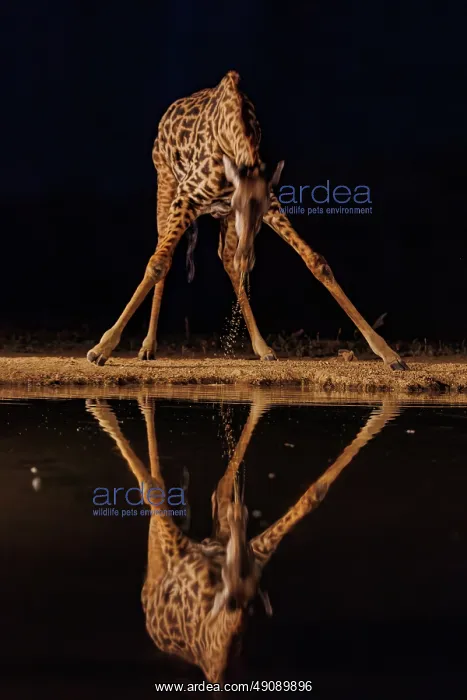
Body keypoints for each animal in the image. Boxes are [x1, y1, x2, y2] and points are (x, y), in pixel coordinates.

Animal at [86, 394, 400, 684]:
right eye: (232, 582)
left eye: (245, 583)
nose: (240, 515)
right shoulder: (179, 548)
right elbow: (151, 488)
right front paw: (107, 407)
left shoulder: (253, 551)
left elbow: (312, 496)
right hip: (164, 552)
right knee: (163, 487)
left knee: (219, 488)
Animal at [87, 70, 408, 370]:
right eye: (238, 204)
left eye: (257, 210)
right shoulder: (188, 196)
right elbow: (157, 263)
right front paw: (102, 348)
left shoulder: (269, 205)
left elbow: (316, 261)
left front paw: (389, 354)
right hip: (166, 183)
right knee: (165, 255)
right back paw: (147, 347)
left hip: (214, 216)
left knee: (228, 259)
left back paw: (262, 347)